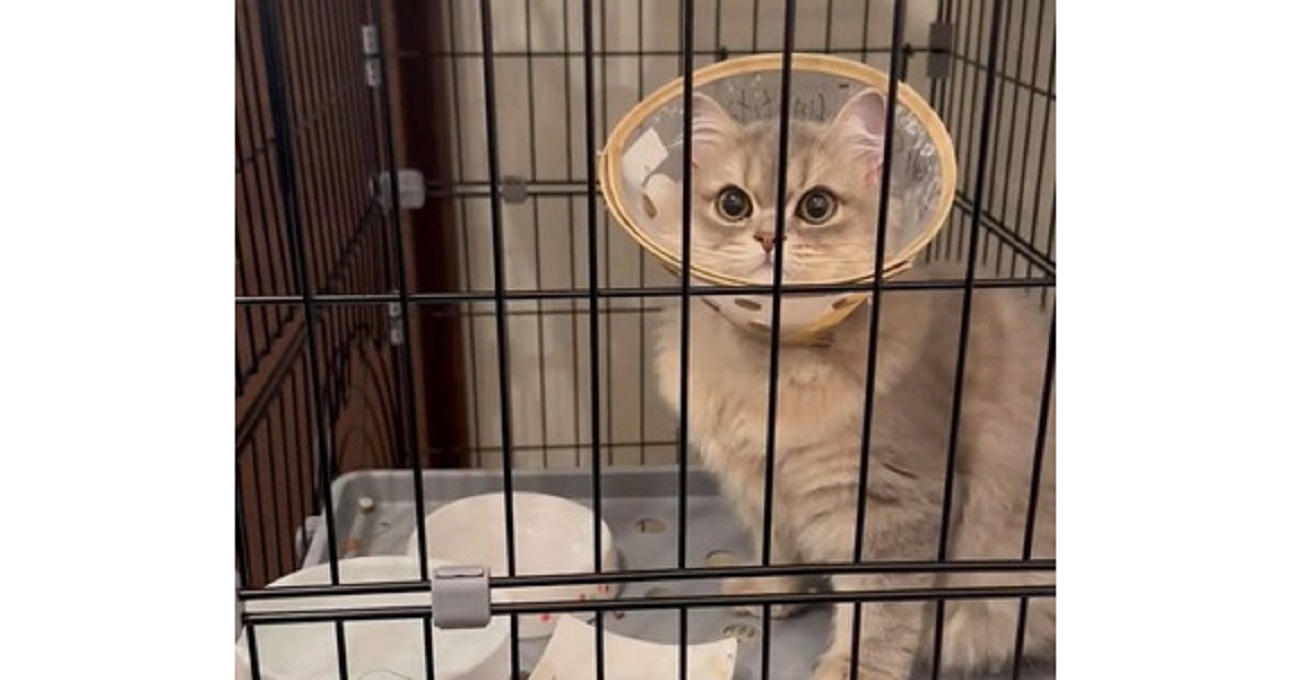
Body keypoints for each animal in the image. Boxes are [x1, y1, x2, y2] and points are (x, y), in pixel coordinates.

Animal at [651, 89, 1055, 680]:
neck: (771, 368)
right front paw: (772, 594)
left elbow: (877, 616)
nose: (768, 237)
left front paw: (850, 670)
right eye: (733, 204)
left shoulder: (891, 505)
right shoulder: (768, 492)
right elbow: (782, 556)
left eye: (816, 207)